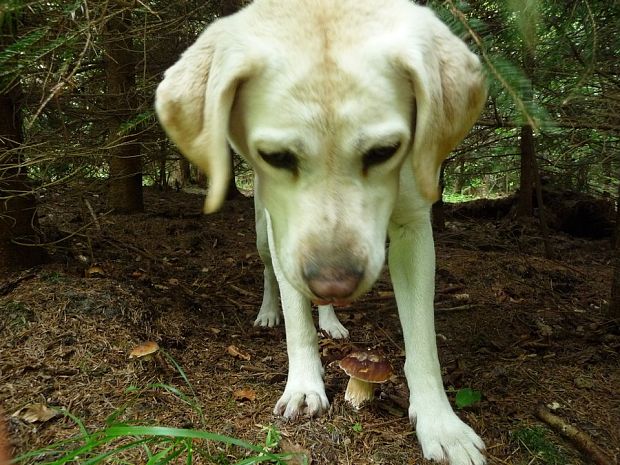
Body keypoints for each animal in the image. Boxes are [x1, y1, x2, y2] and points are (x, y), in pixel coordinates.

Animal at [157, 1, 486, 462]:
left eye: (384, 151)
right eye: (275, 156)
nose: (335, 282)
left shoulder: (415, 230)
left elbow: (423, 340)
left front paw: (442, 424)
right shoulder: (283, 234)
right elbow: (298, 321)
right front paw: (303, 387)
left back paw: (332, 320)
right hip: (263, 234)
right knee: (270, 274)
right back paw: (269, 311)